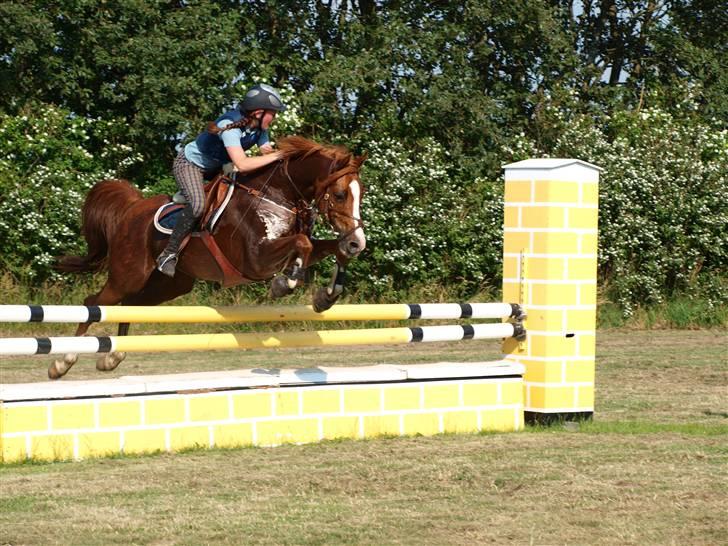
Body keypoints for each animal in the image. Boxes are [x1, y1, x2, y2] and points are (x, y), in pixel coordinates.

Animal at [50, 136, 367, 379]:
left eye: (360, 193)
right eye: (340, 195)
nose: (358, 242)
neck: (276, 194)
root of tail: (132, 208)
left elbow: (325, 248)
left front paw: (326, 296)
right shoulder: (254, 260)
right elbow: (302, 244)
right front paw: (285, 284)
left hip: (171, 284)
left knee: (130, 306)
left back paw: (112, 358)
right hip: (128, 275)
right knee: (94, 303)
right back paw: (62, 362)